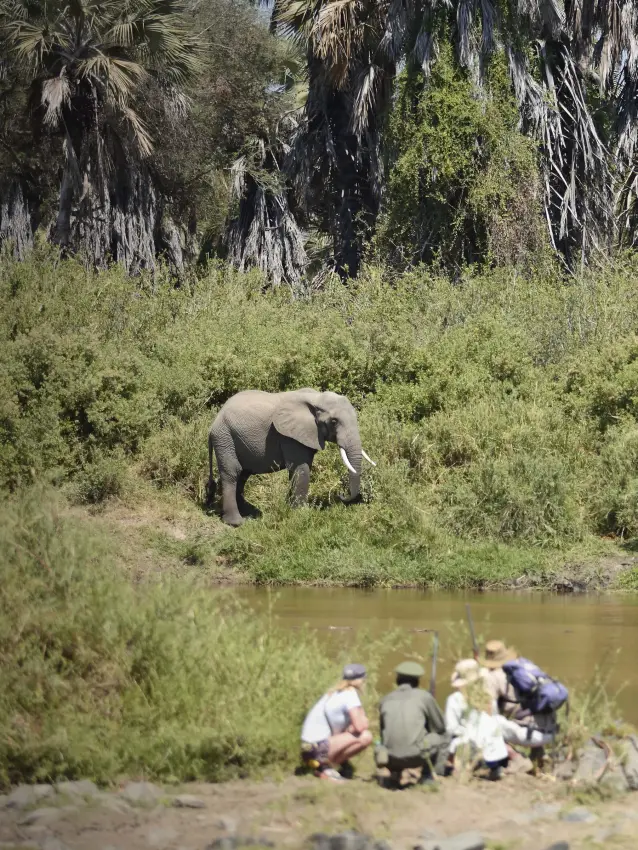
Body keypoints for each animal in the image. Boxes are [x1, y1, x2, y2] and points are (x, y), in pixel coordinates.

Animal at [207, 388, 375, 526]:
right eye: (334, 422)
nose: (341, 495)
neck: (316, 398)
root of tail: (214, 421)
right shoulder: (289, 436)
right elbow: (301, 468)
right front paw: (301, 513)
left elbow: (298, 470)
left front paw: (289, 507)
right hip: (224, 437)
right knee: (232, 473)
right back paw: (236, 522)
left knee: (243, 474)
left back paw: (251, 514)